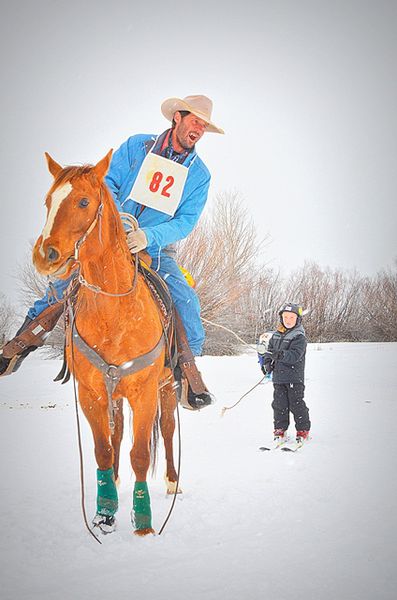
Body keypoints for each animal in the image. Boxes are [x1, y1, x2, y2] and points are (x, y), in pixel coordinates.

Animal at [32, 152, 178, 536]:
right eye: (48, 201)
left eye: (84, 202)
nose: (45, 255)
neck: (115, 312)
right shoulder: (92, 392)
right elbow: (103, 450)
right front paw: (105, 512)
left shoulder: (144, 392)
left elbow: (140, 454)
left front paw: (143, 522)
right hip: (116, 395)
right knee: (117, 436)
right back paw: (112, 480)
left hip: (167, 387)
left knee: (167, 430)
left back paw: (173, 480)